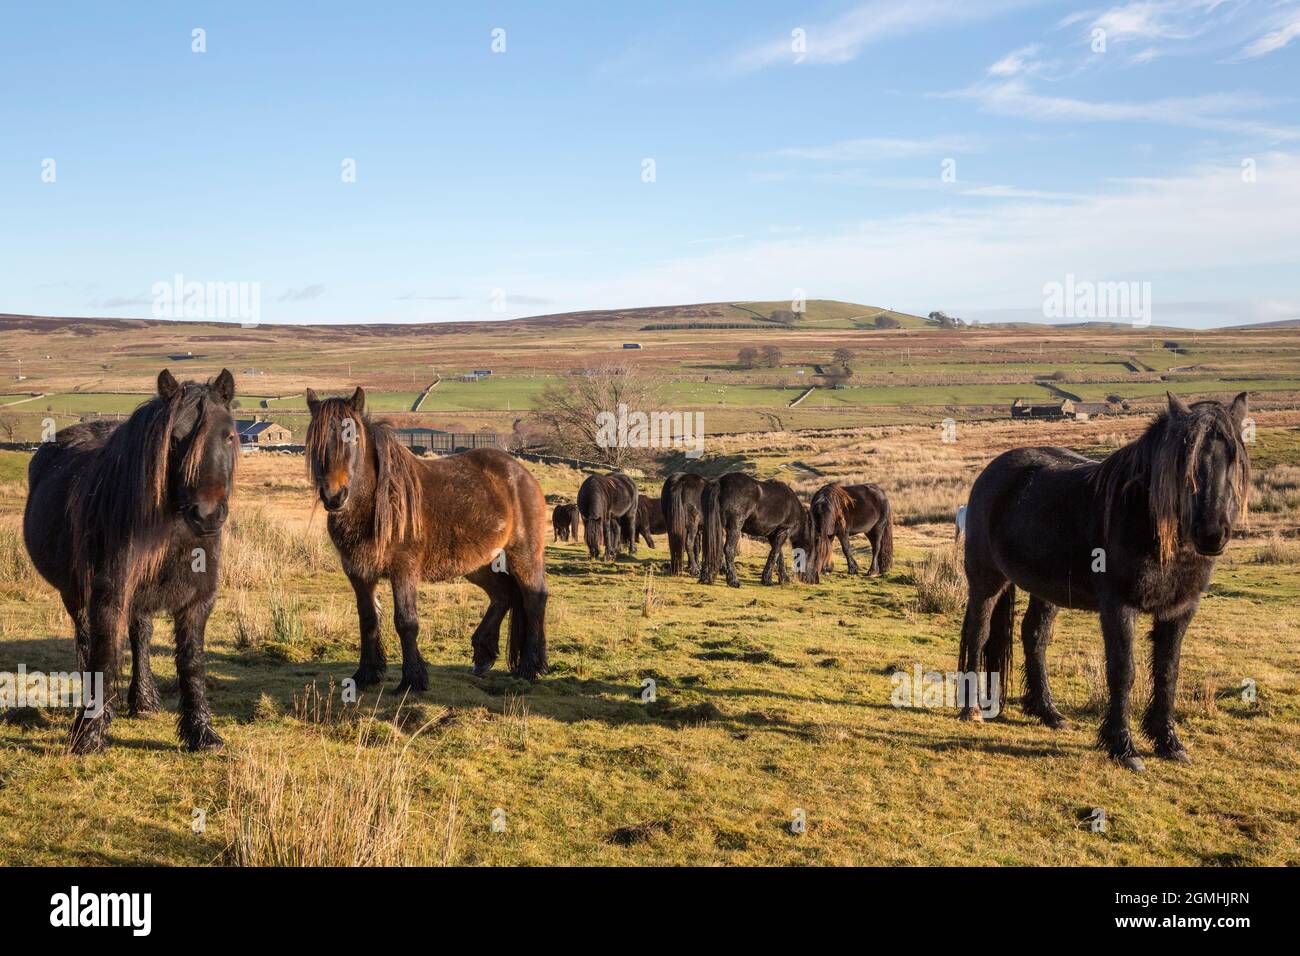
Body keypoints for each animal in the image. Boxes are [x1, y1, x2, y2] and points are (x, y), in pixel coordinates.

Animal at [22, 369, 241, 749]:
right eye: (174, 439)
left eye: (228, 436)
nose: (207, 516)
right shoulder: (109, 594)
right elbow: (104, 654)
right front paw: (90, 734)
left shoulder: (198, 601)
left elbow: (191, 662)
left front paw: (201, 733)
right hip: (74, 592)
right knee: (86, 640)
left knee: (140, 635)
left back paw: (143, 700)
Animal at [308, 385, 548, 686]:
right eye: (315, 442)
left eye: (351, 438)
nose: (334, 496)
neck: (377, 505)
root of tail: (522, 474)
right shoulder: (358, 573)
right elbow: (368, 620)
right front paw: (366, 674)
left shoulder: (404, 570)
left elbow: (406, 622)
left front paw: (413, 678)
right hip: (479, 563)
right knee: (504, 595)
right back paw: (483, 655)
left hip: (523, 556)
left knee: (534, 600)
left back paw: (530, 667)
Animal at [956, 392, 1248, 775]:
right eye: (1185, 461)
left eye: (1233, 457)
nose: (1212, 533)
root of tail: (991, 473)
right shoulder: (1118, 607)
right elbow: (1123, 672)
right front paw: (1123, 747)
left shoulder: (1179, 610)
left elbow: (1168, 672)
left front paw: (1169, 742)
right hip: (986, 579)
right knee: (978, 633)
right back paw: (971, 708)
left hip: (1046, 589)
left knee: (1034, 636)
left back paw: (1048, 712)